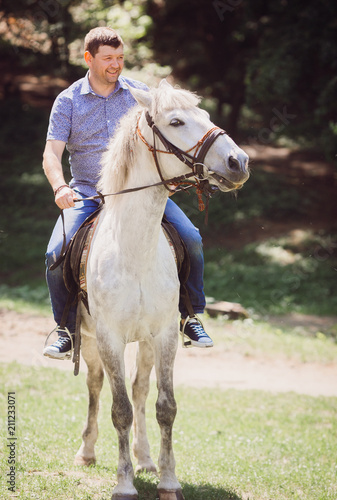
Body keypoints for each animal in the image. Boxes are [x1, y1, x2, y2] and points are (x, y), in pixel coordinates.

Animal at [73, 80, 248, 498]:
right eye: (176, 121)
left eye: (207, 116)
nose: (239, 161)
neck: (135, 251)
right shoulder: (109, 337)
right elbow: (118, 408)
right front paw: (123, 484)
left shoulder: (165, 334)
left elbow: (164, 406)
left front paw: (168, 480)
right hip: (91, 341)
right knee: (96, 386)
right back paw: (87, 451)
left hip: (147, 342)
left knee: (139, 390)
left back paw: (146, 459)